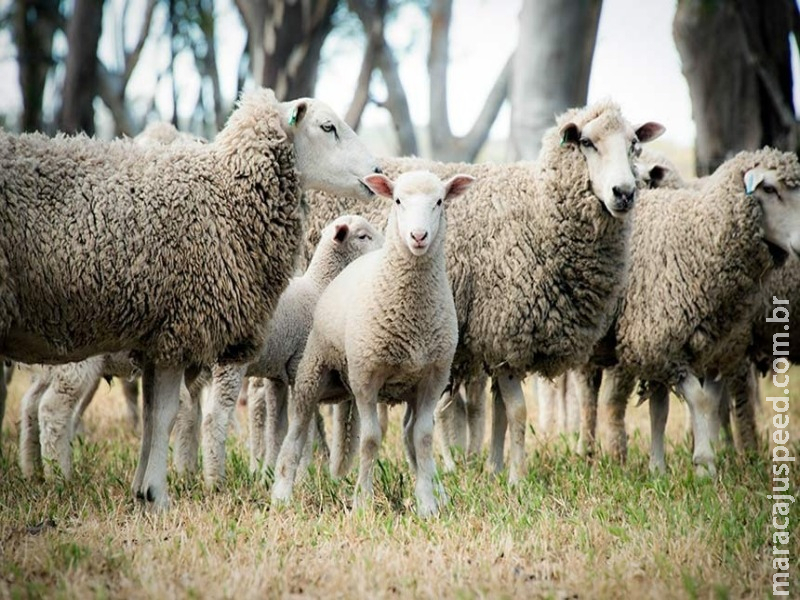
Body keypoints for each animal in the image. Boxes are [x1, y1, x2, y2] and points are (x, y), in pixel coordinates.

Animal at [202, 213, 386, 486]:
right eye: (363, 236)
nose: (388, 248)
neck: (319, 287)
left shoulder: (277, 375)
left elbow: (277, 428)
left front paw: (268, 474)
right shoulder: (302, 365)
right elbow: (304, 427)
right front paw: (301, 476)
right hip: (230, 362)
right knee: (214, 417)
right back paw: (215, 480)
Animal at [274, 170, 476, 516]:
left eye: (439, 201)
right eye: (398, 200)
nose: (418, 236)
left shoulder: (433, 379)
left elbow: (423, 439)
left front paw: (427, 503)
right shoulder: (366, 377)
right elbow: (369, 440)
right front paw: (362, 502)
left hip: (405, 388)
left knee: (409, 434)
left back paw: (437, 490)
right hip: (314, 370)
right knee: (297, 428)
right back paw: (282, 492)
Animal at [300, 99, 664, 482]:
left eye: (634, 145)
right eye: (587, 143)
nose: (624, 193)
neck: (539, 211)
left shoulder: (498, 343)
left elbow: (499, 411)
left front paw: (495, 468)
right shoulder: (504, 330)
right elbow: (517, 412)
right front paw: (517, 477)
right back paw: (313, 459)